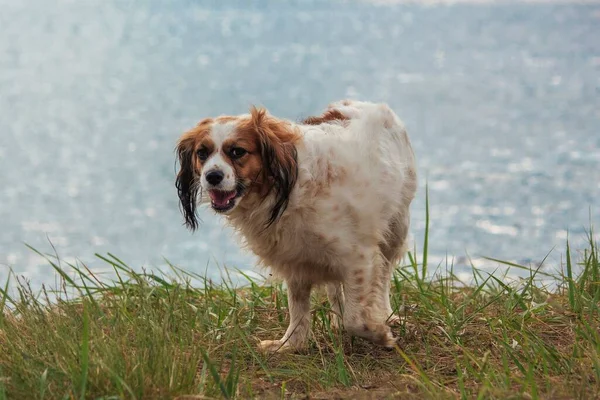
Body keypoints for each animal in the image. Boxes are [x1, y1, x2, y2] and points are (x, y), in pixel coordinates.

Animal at [176, 100, 414, 354]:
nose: (212, 176)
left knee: (384, 276)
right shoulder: (294, 259)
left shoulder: (360, 257)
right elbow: (298, 308)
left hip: (396, 227)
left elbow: (356, 318)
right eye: (202, 153)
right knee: (335, 288)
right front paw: (290, 343)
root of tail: (366, 103)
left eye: (237, 151)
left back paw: (386, 315)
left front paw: (381, 334)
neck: (286, 190)